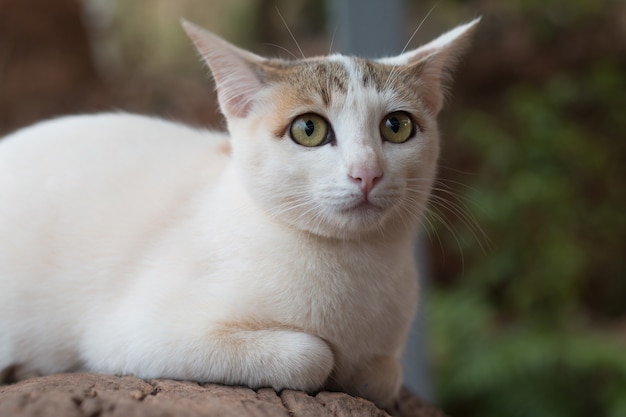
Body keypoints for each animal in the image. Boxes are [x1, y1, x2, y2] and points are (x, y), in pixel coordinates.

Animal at [0, 18, 478, 406]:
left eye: (396, 127)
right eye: (309, 129)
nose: (367, 173)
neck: (352, 267)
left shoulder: (386, 350)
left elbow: (381, 373)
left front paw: (359, 370)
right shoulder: (130, 334)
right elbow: (312, 354)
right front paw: (329, 361)